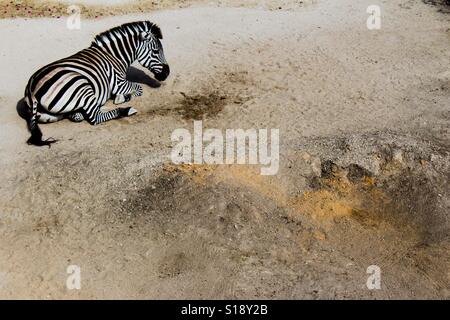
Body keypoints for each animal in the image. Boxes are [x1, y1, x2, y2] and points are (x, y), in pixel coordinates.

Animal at [21, 21, 169, 147]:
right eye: (156, 51)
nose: (167, 73)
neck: (114, 56)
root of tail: (31, 89)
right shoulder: (119, 83)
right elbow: (139, 88)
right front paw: (121, 98)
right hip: (81, 84)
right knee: (95, 117)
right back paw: (125, 110)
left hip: (50, 116)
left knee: (81, 114)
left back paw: (84, 111)